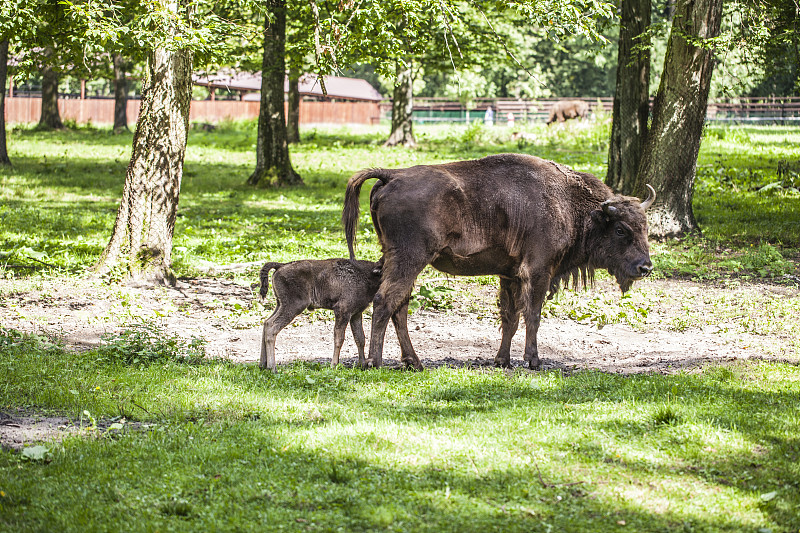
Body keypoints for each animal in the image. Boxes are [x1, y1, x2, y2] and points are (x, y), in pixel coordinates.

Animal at [340, 153, 652, 370]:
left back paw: (413, 363)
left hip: (399, 260)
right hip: (410, 259)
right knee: (385, 302)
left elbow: (510, 317)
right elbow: (533, 315)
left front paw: (502, 360)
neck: (568, 202)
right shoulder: (537, 272)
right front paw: (533, 360)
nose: (645, 267)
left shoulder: (509, 275)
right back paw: (376, 362)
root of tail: (392, 176)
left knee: (399, 306)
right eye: (621, 229)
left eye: (645, 226)